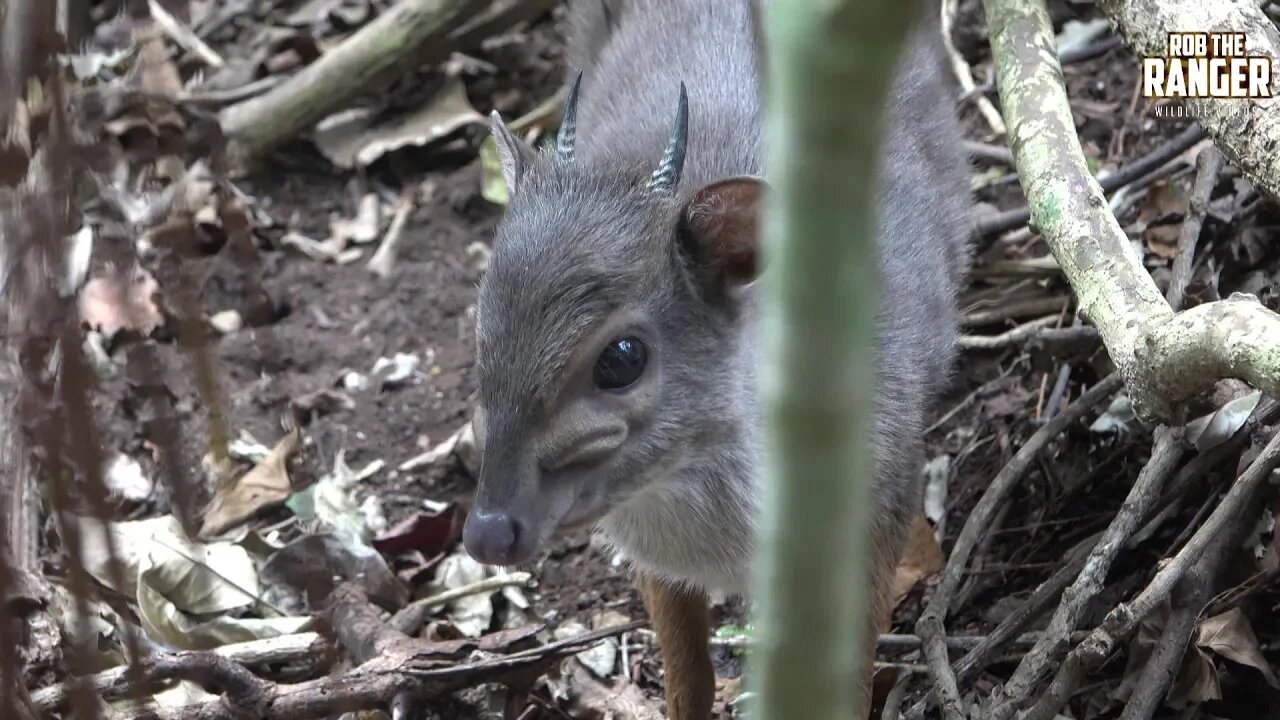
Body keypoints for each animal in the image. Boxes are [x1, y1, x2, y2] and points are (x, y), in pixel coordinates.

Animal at [463, 0, 967, 712]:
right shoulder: (657, 560)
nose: (488, 532)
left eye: (622, 357)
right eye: (482, 325)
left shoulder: (884, 505)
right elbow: (688, 678)